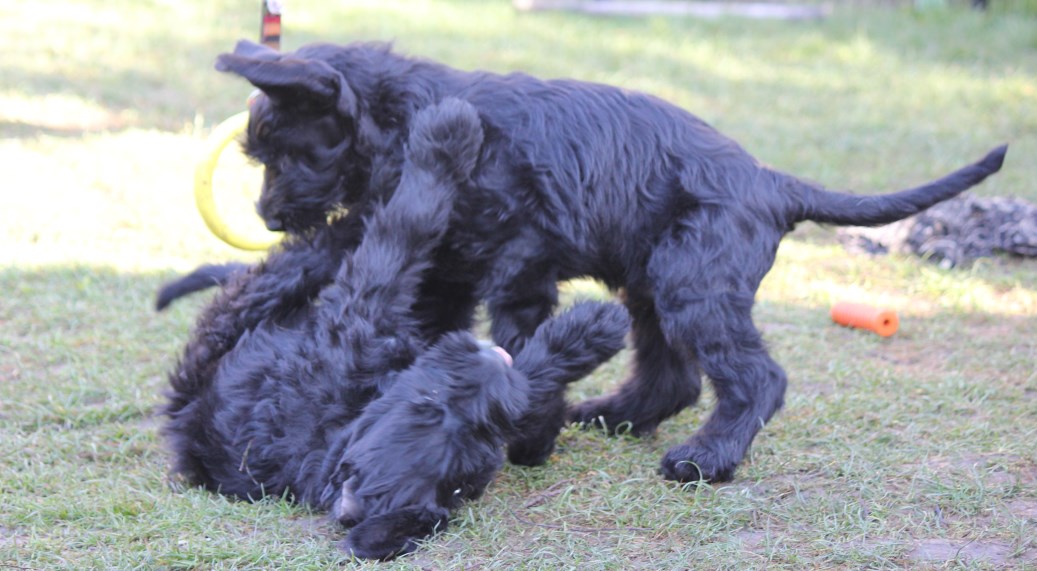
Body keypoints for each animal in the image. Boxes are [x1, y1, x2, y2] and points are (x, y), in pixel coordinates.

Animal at [163, 97, 630, 559]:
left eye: (485, 430)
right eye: (427, 407)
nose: (486, 361)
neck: (341, 428)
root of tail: (181, 409)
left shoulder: (363, 312)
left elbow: (405, 228)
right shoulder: (365, 314)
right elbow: (409, 227)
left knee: (313, 251)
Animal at [212, 40, 1012, 484]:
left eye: (288, 153)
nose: (267, 217)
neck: (410, 116)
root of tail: (774, 183)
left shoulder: (520, 262)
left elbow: (517, 339)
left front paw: (526, 430)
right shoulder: (448, 265)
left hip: (693, 286)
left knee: (756, 378)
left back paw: (706, 460)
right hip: (652, 283)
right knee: (672, 376)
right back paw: (610, 416)